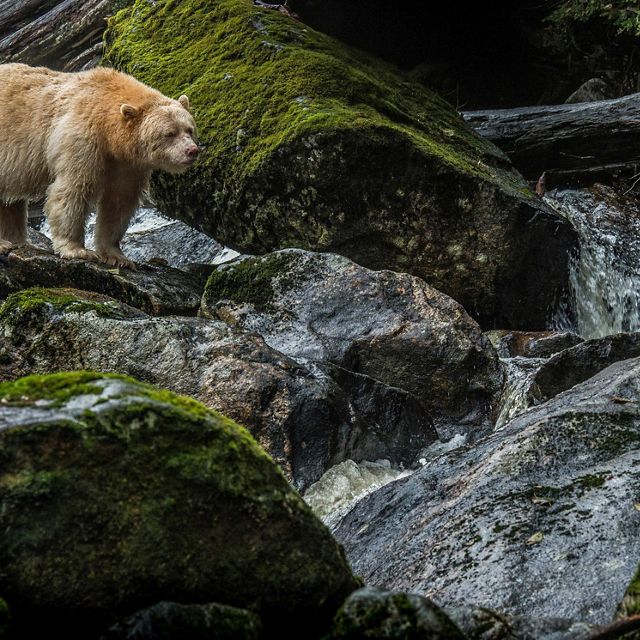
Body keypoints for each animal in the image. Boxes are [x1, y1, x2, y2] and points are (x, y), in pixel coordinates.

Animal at [0, 63, 200, 268]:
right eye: (169, 133)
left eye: (189, 130)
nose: (192, 150)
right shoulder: (82, 139)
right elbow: (74, 189)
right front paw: (78, 250)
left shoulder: (127, 164)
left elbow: (119, 202)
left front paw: (118, 257)